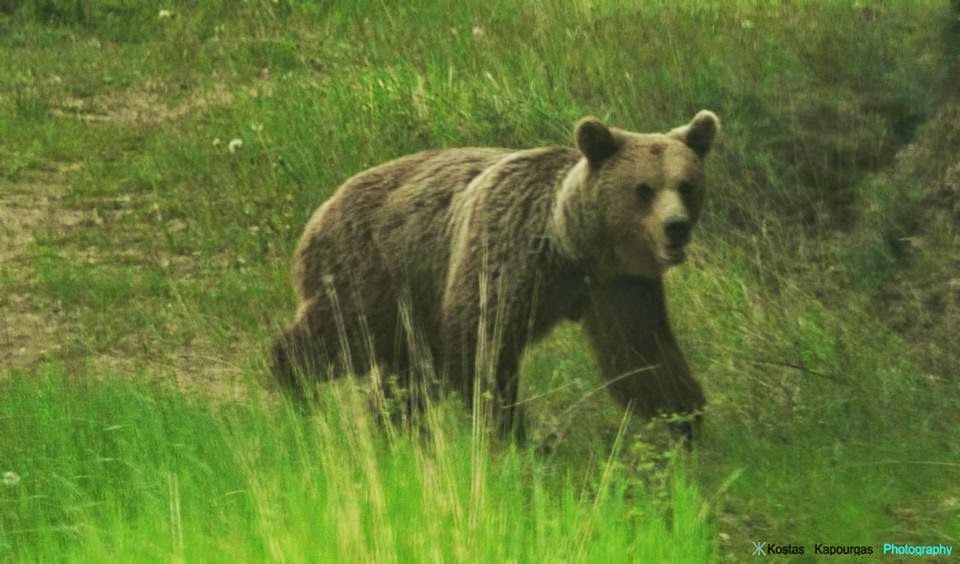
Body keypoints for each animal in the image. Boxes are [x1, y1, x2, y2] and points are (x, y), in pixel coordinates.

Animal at [270, 109, 720, 436]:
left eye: (686, 185)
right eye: (643, 189)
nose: (676, 226)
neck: (570, 246)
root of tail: (321, 211)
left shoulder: (619, 285)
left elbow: (642, 356)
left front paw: (685, 418)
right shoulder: (506, 254)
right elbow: (481, 342)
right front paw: (509, 430)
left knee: (408, 373)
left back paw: (394, 427)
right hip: (375, 273)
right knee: (340, 337)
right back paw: (293, 383)